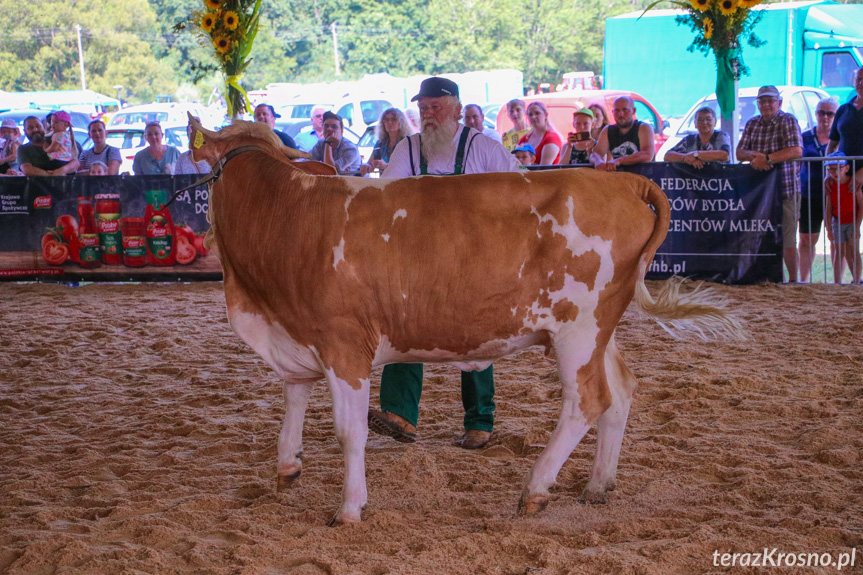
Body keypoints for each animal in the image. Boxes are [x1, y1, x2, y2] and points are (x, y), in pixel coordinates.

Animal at [189, 117, 744, 528]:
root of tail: (621, 178)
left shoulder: (344, 344)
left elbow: (349, 432)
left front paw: (348, 509)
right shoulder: (299, 338)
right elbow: (294, 402)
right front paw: (287, 469)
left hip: (579, 329)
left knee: (588, 400)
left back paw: (535, 490)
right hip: (599, 330)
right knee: (622, 391)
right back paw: (597, 485)